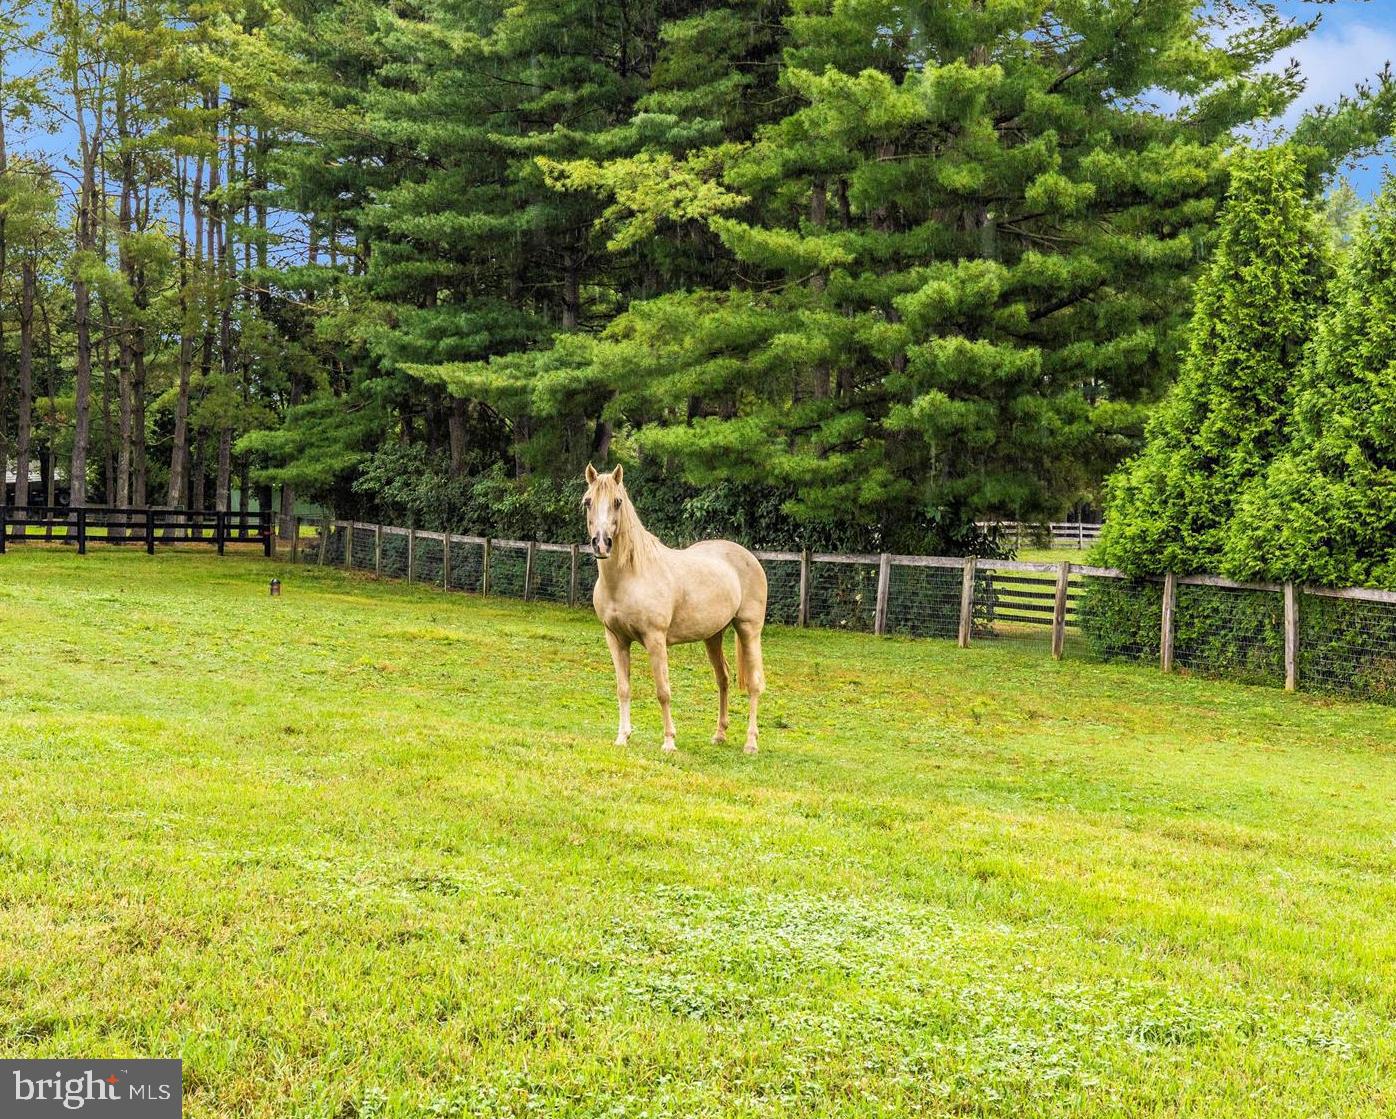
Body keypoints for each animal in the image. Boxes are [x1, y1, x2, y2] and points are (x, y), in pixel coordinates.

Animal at [583, 464, 768, 754]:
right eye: (588, 501)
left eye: (617, 501)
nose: (601, 543)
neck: (631, 575)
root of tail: (748, 557)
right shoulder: (616, 639)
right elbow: (623, 688)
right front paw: (622, 737)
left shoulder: (655, 639)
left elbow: (663, 691)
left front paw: (669, 741)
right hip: (713, 636)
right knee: (723, 679)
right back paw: (719, 735)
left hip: (749, 631)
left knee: (755, 683)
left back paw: (750, 743)